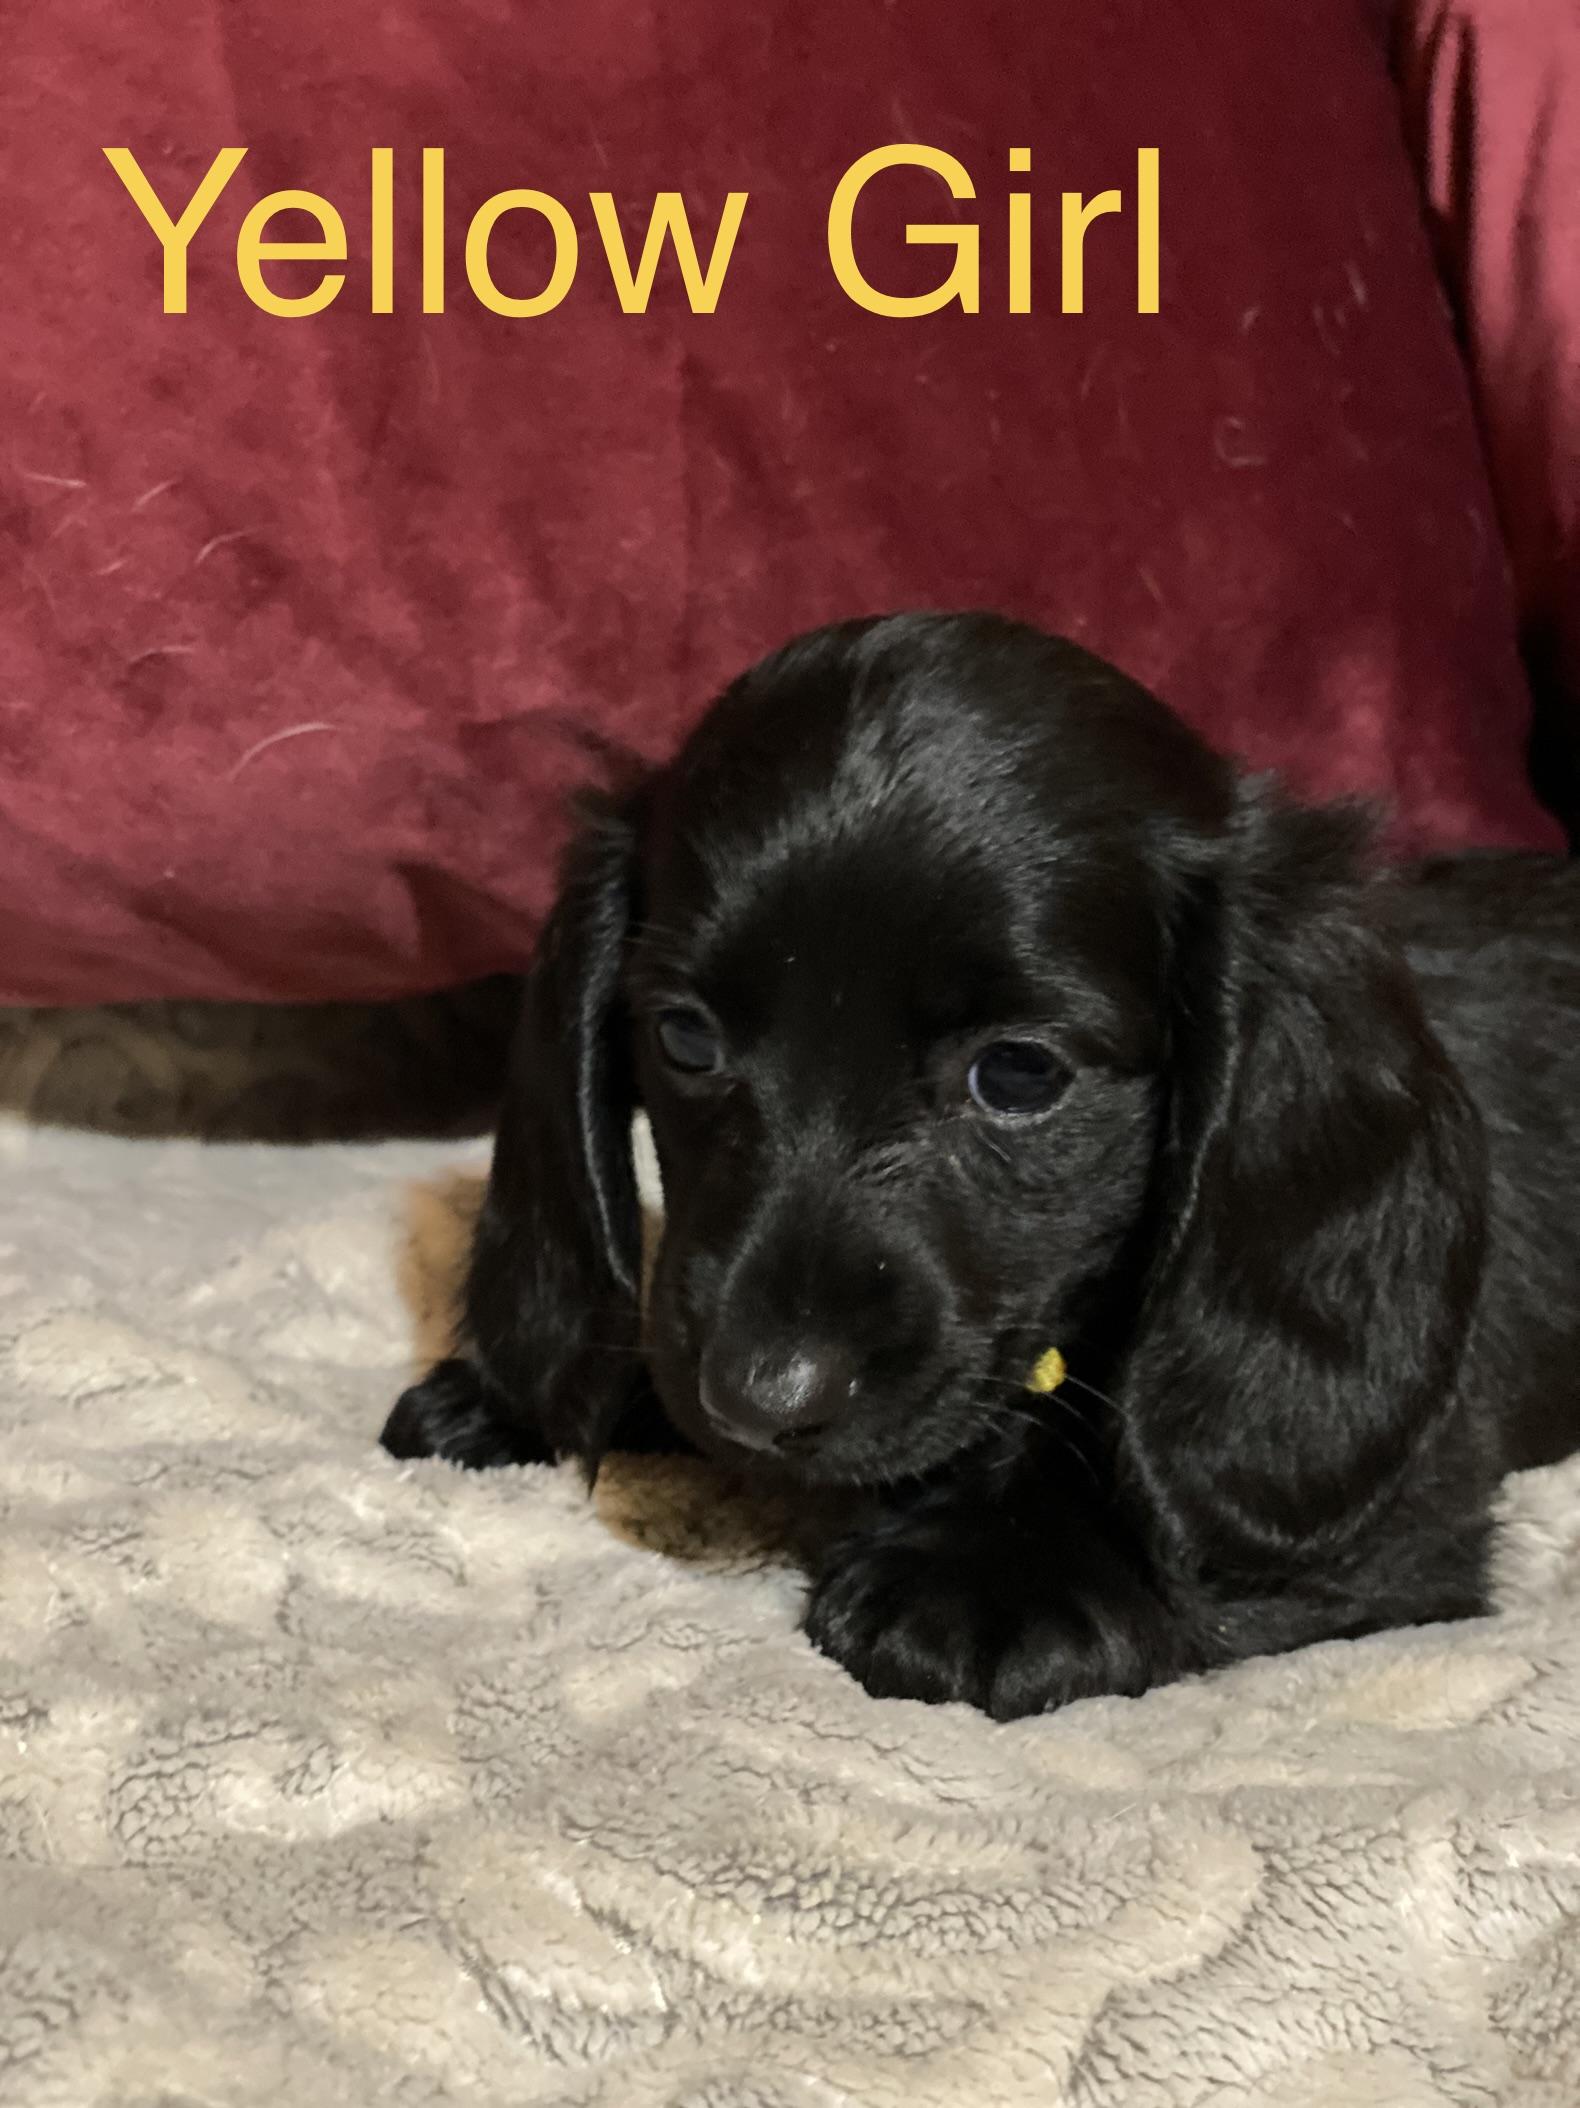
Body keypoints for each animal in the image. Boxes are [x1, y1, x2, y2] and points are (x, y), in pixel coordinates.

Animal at [382, 612, 1580, 1719]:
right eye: (683, 1037)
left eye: (1016, 1071)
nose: (761, 1400)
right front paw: (525, 1393)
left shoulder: (1392, 1528)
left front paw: (999, 1573)